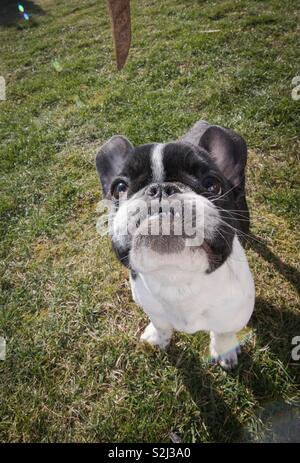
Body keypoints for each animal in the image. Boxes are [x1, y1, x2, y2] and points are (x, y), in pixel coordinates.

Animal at [96, 122, 255, 370]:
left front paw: (224, 350)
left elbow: (223, 333)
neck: (176, 277)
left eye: (212, 184)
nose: (160, 188)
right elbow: (161, 324)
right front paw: (158, 337)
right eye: (119, 188)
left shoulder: (232, 314)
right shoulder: (152, 308)